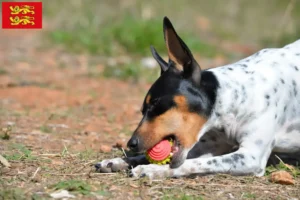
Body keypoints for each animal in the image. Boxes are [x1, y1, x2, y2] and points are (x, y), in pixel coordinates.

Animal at [95, 17, 300, 179]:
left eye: (156, 104)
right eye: (143, 110)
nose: (131, 143)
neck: (233, 97)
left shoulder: (251, 157)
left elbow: (189, 164)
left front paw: (153, 170)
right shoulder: (209, 146)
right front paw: (118, 161)